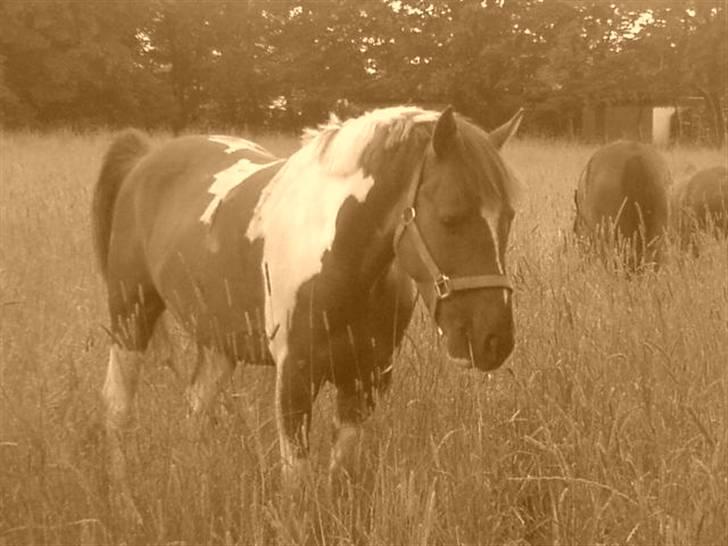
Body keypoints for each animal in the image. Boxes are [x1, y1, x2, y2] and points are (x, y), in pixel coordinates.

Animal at [94, 105, 524, 516]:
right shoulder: (295, 377)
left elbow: (342, 477)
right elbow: (297, 484)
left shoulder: (364, 381)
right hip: (130, 317)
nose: (494, 340)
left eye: (508, 217)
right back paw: (125, 505)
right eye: (451, 216)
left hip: (219, 342)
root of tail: (145, 159)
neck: (339, 256)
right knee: (117, 408)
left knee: (197, 406)